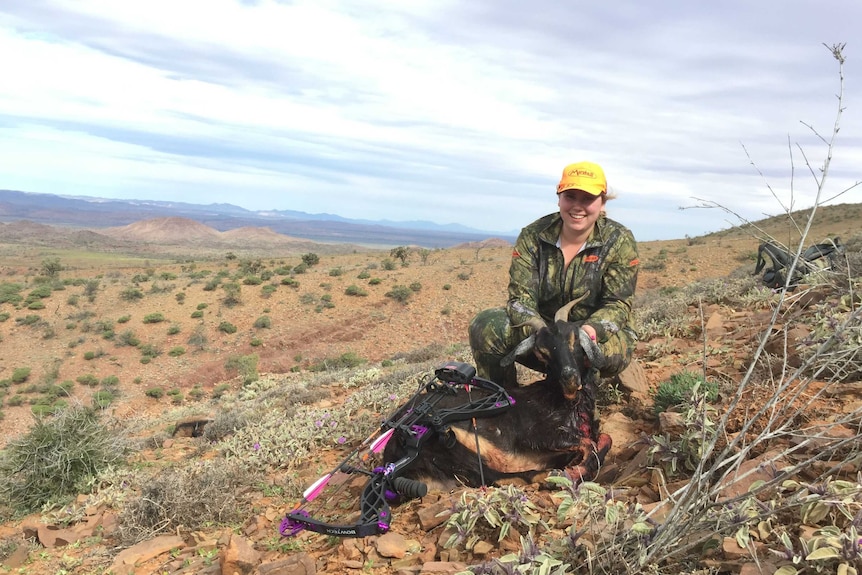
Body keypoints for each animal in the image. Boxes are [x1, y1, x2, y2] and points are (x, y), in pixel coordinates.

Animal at [384, 296, 616, 490]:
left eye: (574, 339)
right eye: (542, 352)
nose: (570, 378)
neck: (563, 401)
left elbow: (605, 439)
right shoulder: (540, 435)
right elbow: (589, 444)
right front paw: (571, 472)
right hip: (448, 445)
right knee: (491, 476)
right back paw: (550, 476)